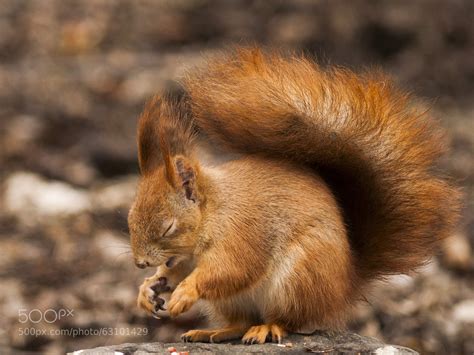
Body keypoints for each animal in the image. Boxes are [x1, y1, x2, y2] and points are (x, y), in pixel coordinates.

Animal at [128, 46, 462, 344]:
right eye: (129, 220)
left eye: (168, 227)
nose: (140, 263)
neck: (214, 210)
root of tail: (343, 286)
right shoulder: (185, 258)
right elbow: (177, 271)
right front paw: (149, 288)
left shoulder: (243, 233)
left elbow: (230, 270)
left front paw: (184, 291)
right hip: (236, 301)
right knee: (241, 321)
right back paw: (214, 331)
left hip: (297, 280)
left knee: (287, 320)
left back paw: (265, 329)